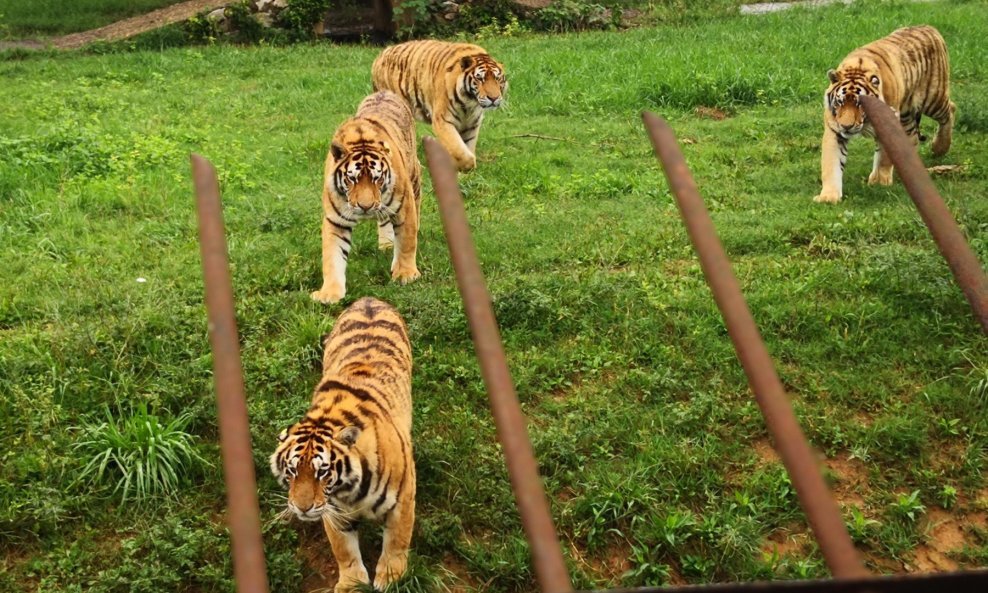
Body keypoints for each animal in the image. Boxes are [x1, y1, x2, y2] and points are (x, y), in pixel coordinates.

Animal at [268, 296, 414, 592]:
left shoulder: (404, 497)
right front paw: (351, 583)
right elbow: (343, 549)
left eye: (322, 472)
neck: (350, 491)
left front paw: (391, 577)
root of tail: (369, 299)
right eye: (292, 470)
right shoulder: (332, 509)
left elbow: (397, 538)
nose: (302, 508)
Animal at [312, 92, 420, 306]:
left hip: (414, 174)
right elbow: (332, 256)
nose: (365, 207)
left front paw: (405, 274)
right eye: (351, 178)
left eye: (377, 178)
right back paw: (386, 245)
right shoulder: (335, 220)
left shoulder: (404, 206)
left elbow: (406, 241)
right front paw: (329, 293)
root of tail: (384, 92)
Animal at [372, 39, 510, 171]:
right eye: (480, 79)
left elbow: (467, 145)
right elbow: (460, 151)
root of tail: (380, 56)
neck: (469, 103)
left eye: (497, 79)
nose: (494, 98)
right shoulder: (443, 121)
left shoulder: (472, 124)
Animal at [812, 24, 956, 204]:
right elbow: (831, 164)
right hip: (907, 114)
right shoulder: (834, 129)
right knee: (912, 137)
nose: (846, 126)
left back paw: (939, 147)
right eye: (840, 102)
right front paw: (828, 197)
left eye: (860, 104)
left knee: (950, 110)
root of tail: (929, 26)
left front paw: (881, 181)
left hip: (933, 98)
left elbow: (884, 157)